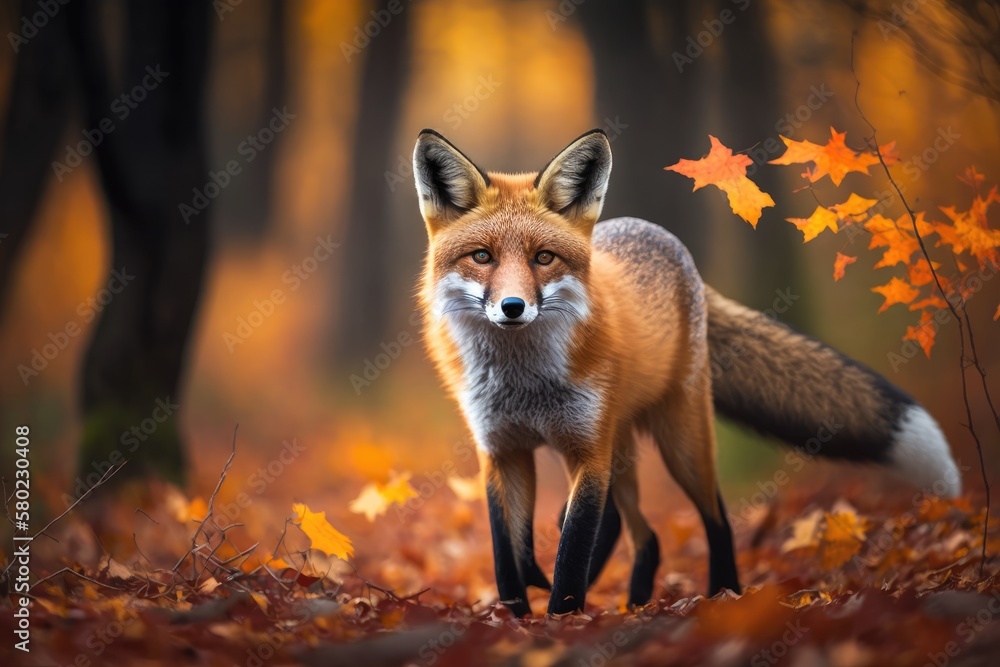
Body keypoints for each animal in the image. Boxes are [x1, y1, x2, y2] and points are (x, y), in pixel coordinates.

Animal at [412, 128, 960, 620]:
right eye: (482, 257)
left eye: (543, 258)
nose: (512, 307)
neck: (523, 381)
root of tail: (669, 242)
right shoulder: (502, 451)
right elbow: (508, 556)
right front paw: (518, 617)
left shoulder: (587, 451)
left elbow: (571, 551)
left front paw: (561, 619)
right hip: (620, 446)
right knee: (638, 532)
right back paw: (636, 603)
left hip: (678, 440)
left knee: (713, 518)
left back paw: (724, 596)